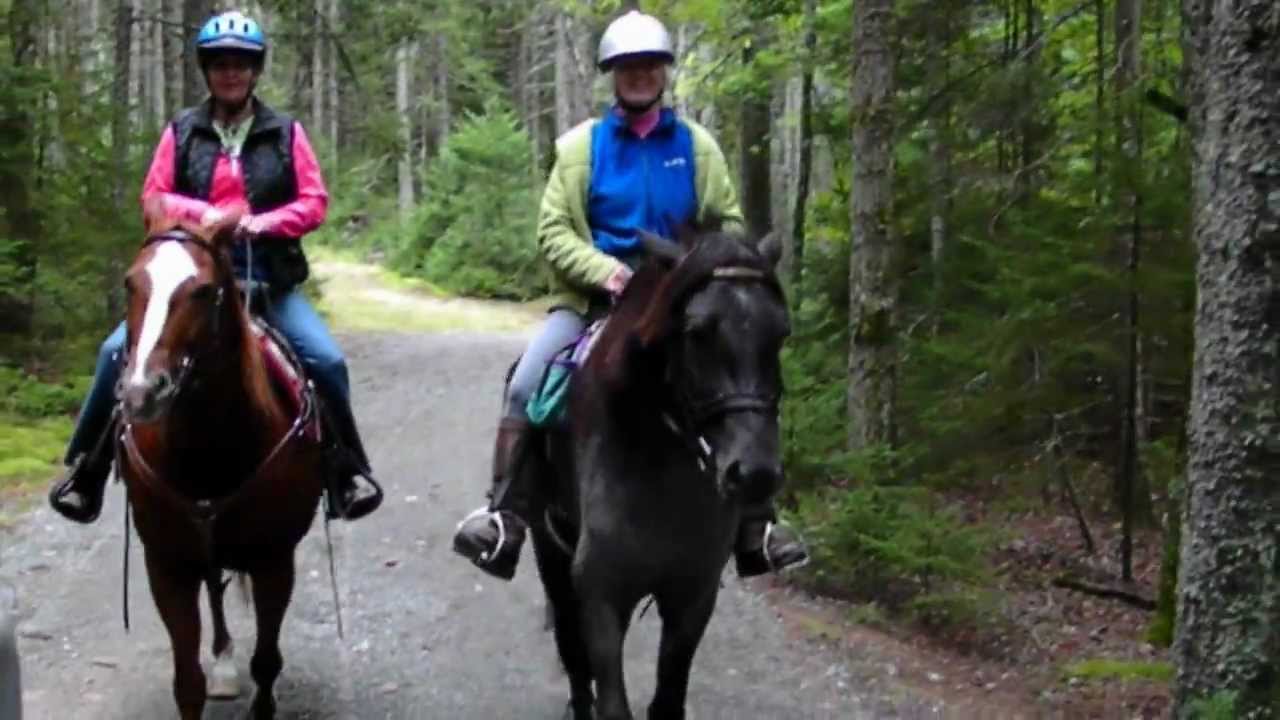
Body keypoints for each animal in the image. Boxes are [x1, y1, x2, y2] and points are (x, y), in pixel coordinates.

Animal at [116, 210, 325, 720]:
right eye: (130, 283)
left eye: (203, 290)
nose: (141, 393)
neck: (208, 448)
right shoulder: (167, 564)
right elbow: (187, 682)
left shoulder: (274, 560)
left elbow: (267, 660)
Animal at [527, 222, 790, 720]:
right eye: (696, 331)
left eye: (782, 334)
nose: (755, 473)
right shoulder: (603, 593)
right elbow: (609, 698)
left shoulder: (693, 595)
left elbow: (668, 698)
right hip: (551, 555)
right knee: (573, 655)